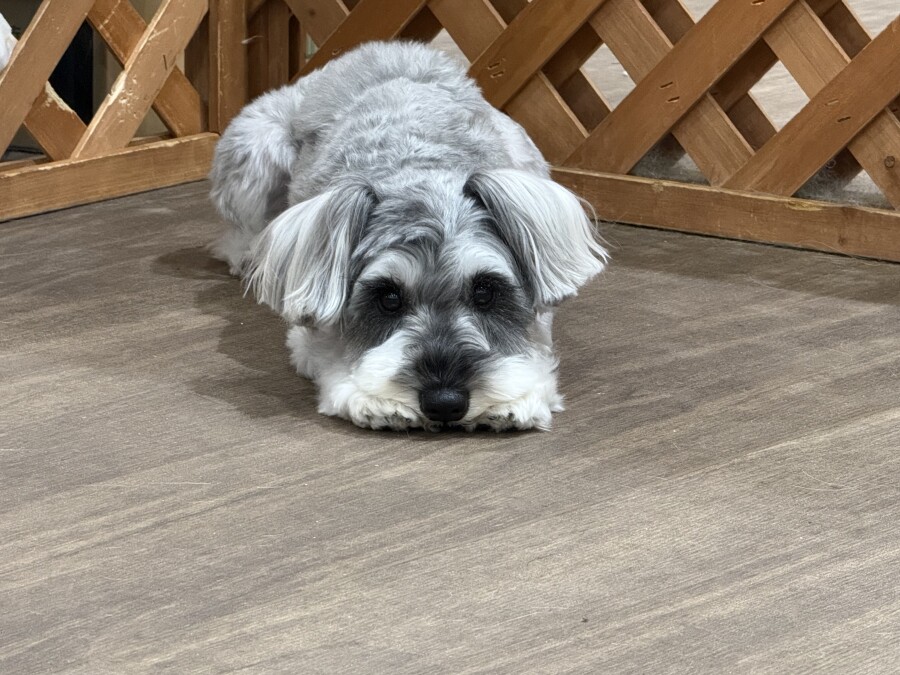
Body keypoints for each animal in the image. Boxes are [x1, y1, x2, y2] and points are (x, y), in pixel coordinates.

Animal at [209, 41, 607, 431]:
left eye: (485, 292)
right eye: (388, 298)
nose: (445, 403)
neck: (418, 173)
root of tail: (384, 48)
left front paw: (516, 398)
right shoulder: (316, 331)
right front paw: (375, 400)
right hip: (254, 150)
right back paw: (248, 256)